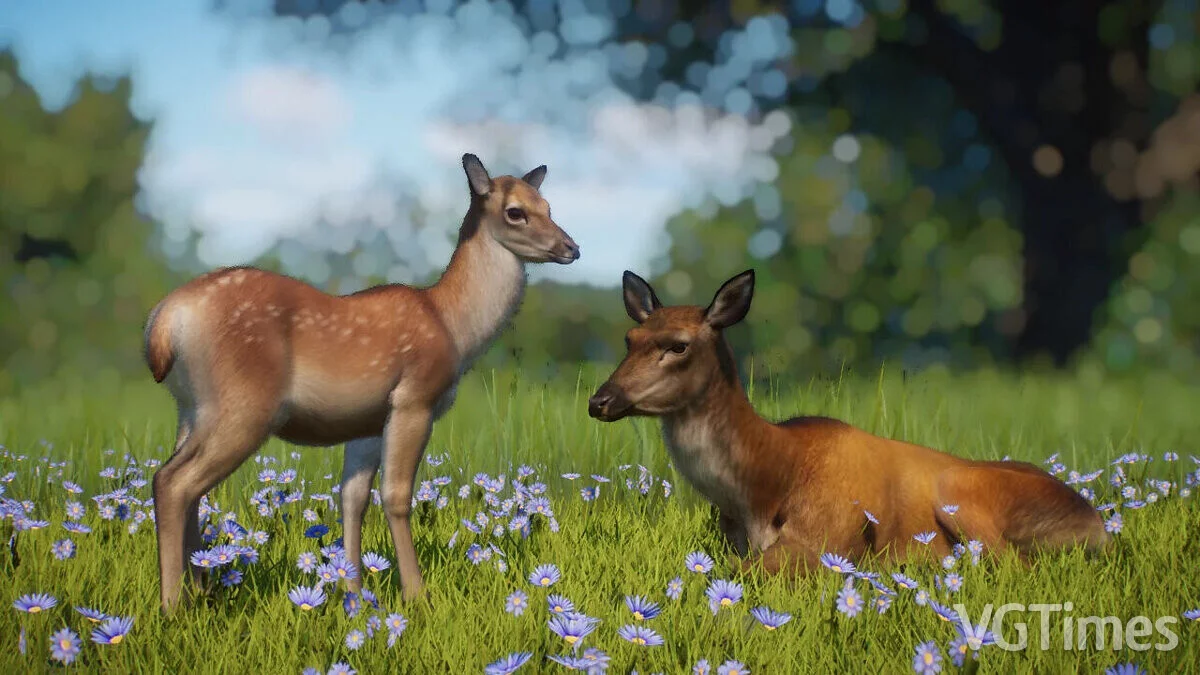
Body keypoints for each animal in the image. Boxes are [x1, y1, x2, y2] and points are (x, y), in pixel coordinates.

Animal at [143, 153, 580, 612]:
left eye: (548, 206)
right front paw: (416, 595)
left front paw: (351, 593)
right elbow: (396, 496)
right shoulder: (414, 397)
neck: (453, 326)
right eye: (516, 212)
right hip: (243, 404)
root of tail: (164, 321)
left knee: (179, 481)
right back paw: (173, 606)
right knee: (173, 481)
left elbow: (352, 498)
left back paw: (200, 589)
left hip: (190, 408)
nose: (572, 248)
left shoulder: (368, 421)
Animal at [587, 269, 1110, 577]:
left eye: (677, 345)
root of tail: (1097, 524)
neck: (762, 486)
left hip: (958, 491)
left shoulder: (825, 535)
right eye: (630, 338)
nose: (600, 400)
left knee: (1012, 565)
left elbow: (738, 573)